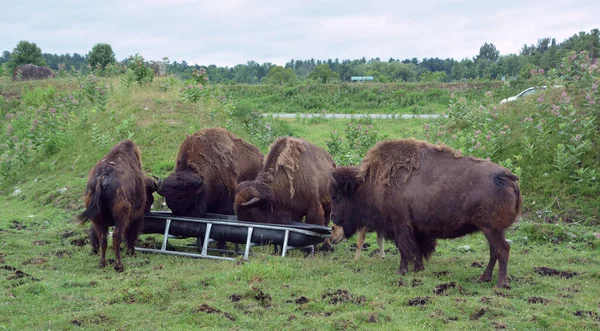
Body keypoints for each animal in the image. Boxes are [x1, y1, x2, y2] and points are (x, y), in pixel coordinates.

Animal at [77, 140, 157, 272]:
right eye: (149, 198)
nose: (148, 211)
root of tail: (103, 178)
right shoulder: (135, 217)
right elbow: (131, 233)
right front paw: (131, 252)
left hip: (97, 217)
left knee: (103, 238)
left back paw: (102, 263)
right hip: (121, 216)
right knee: (116, 237)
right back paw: (119, 266)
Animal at [328, 139, 520, 290]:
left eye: (337, 197)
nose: (333, 218)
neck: (371, 182)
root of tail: (507, 177)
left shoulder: (401, 225)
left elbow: (404, 248)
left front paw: (401, 271)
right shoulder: (416, 228)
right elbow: (418, 248)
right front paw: (417, 269)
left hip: (492, 229)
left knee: (502, 250)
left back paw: (500, 284)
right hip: (492, 230)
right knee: (494, 252)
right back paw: (483, 278)